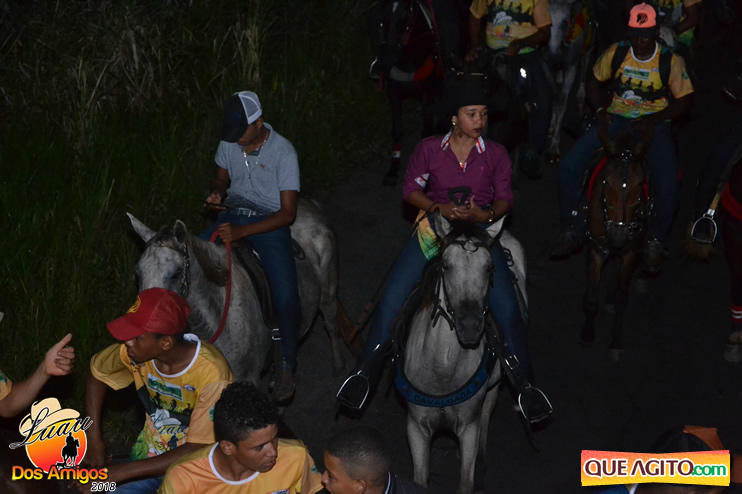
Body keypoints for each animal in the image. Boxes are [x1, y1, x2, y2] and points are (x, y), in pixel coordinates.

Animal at [127, 198, 353, 385]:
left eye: (175, 274)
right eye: (137, 274)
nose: (140, 334)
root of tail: (309, 205)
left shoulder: (248, 378)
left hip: (328, 293)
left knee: (331, 323)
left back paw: (339, 367)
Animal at [397, 214, 526, 494]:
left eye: (489, 268)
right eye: (446, 265)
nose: (469, 326)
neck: (442, 371)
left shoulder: (469, 427)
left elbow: (466, 481)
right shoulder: (416, 427)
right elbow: (419, 480)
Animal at [580, 120, 654, 361]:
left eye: (640, 184)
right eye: (605, 181)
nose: (618, 234)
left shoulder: (631, 252)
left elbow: (623, 296)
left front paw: (616, 342)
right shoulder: (597, 247)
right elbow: (592, 297)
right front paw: (587, 333)